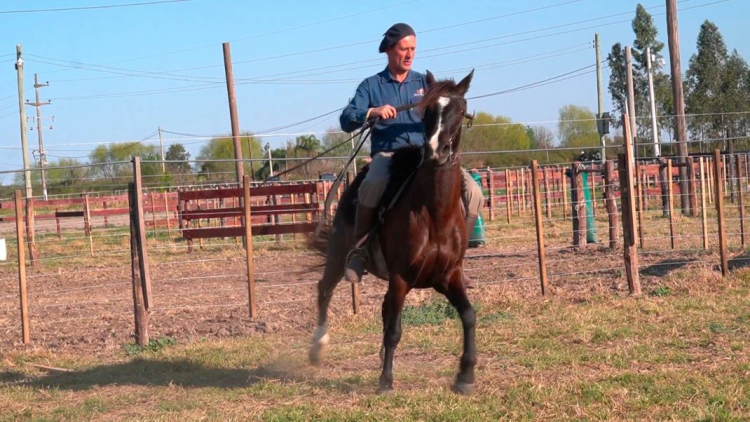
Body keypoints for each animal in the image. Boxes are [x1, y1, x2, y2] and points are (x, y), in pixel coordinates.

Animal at [309, 70, 477, 394]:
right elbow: (395, 330)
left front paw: (466, 375)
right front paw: (386, 380)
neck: (434, 214)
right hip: (338, 256)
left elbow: (469, 316)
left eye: (460, 110)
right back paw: (318, 347)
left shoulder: (448, 276)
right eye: (427, 109)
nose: (436, 152)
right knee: (325, 290)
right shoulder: (401, 278)